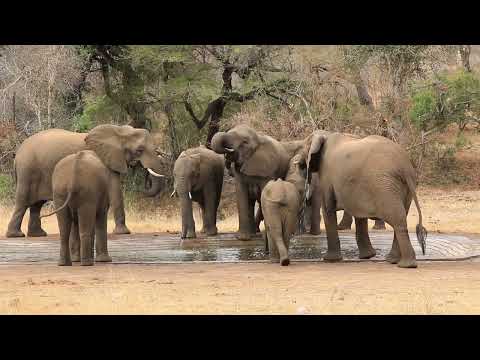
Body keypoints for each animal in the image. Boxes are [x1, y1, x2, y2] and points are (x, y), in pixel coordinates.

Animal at [4, 124, 167, 239]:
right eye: (139, 150)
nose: (143, 171)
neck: (119, 131)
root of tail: (17, 154)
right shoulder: (103, 157)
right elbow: (114, 190)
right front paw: (123, 233)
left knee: (36, 204)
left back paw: (38, 235)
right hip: (28, 171)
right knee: (23, 201)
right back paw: (16, 235)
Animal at [304, 130, 428, 268]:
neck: (326, 134)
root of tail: (405, 167)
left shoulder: (326, 175)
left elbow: (328, 209)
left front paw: (330, 260)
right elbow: (359, 215)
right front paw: (367, 256)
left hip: (385, 186)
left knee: (397, 218)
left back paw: (405, 265)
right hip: (401, 187)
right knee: (401, 217)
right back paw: (393, 260)